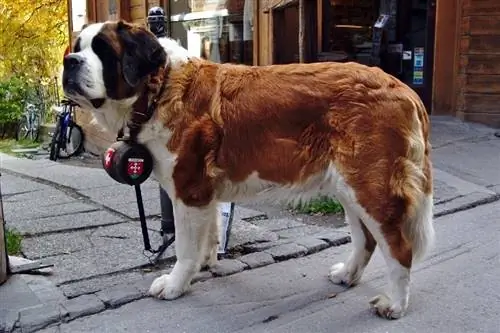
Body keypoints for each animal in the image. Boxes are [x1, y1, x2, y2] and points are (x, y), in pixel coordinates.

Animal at [62, 20, 436, 320]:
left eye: (103, 50)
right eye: (77, 48)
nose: (69, 62)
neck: (159, 88)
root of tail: (403, 88)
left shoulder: (188, 189)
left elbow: (184, 247)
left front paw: (175, 284)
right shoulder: (204, 193)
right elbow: (209, 233)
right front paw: (207, 263)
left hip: (370, 188)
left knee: (399, 248)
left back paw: (394, 305)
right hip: (349, 187)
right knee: (366, 239)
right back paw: (347, 274)